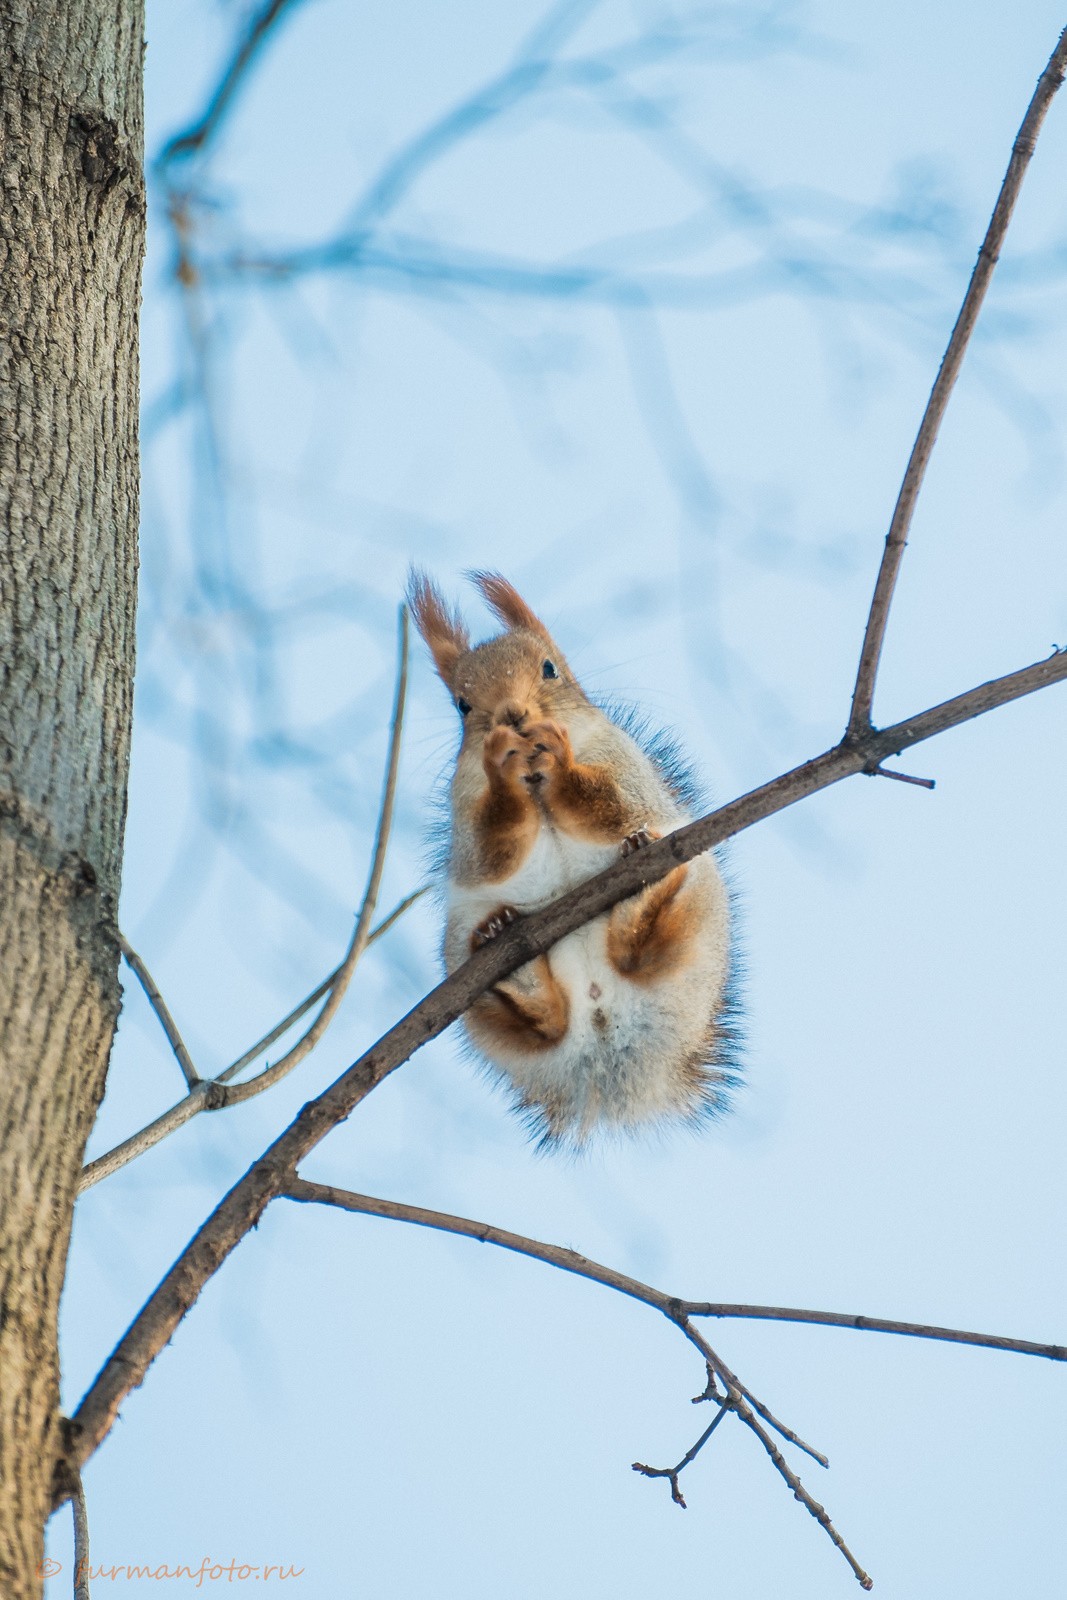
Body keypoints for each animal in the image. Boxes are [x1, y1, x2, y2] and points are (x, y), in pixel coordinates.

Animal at [404, 569, 739, 1145]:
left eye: (549, 668)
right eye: (462, 705)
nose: (513, 714)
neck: (534, 783)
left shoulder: (622, 763)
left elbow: (617, 805)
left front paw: (559, 761)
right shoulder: (465, 809)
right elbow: (490, 855)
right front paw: (502, 768)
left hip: (699, 895)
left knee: (645, 949)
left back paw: (642, 894)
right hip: (459, 952)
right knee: (546, 1022)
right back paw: (511, 958)